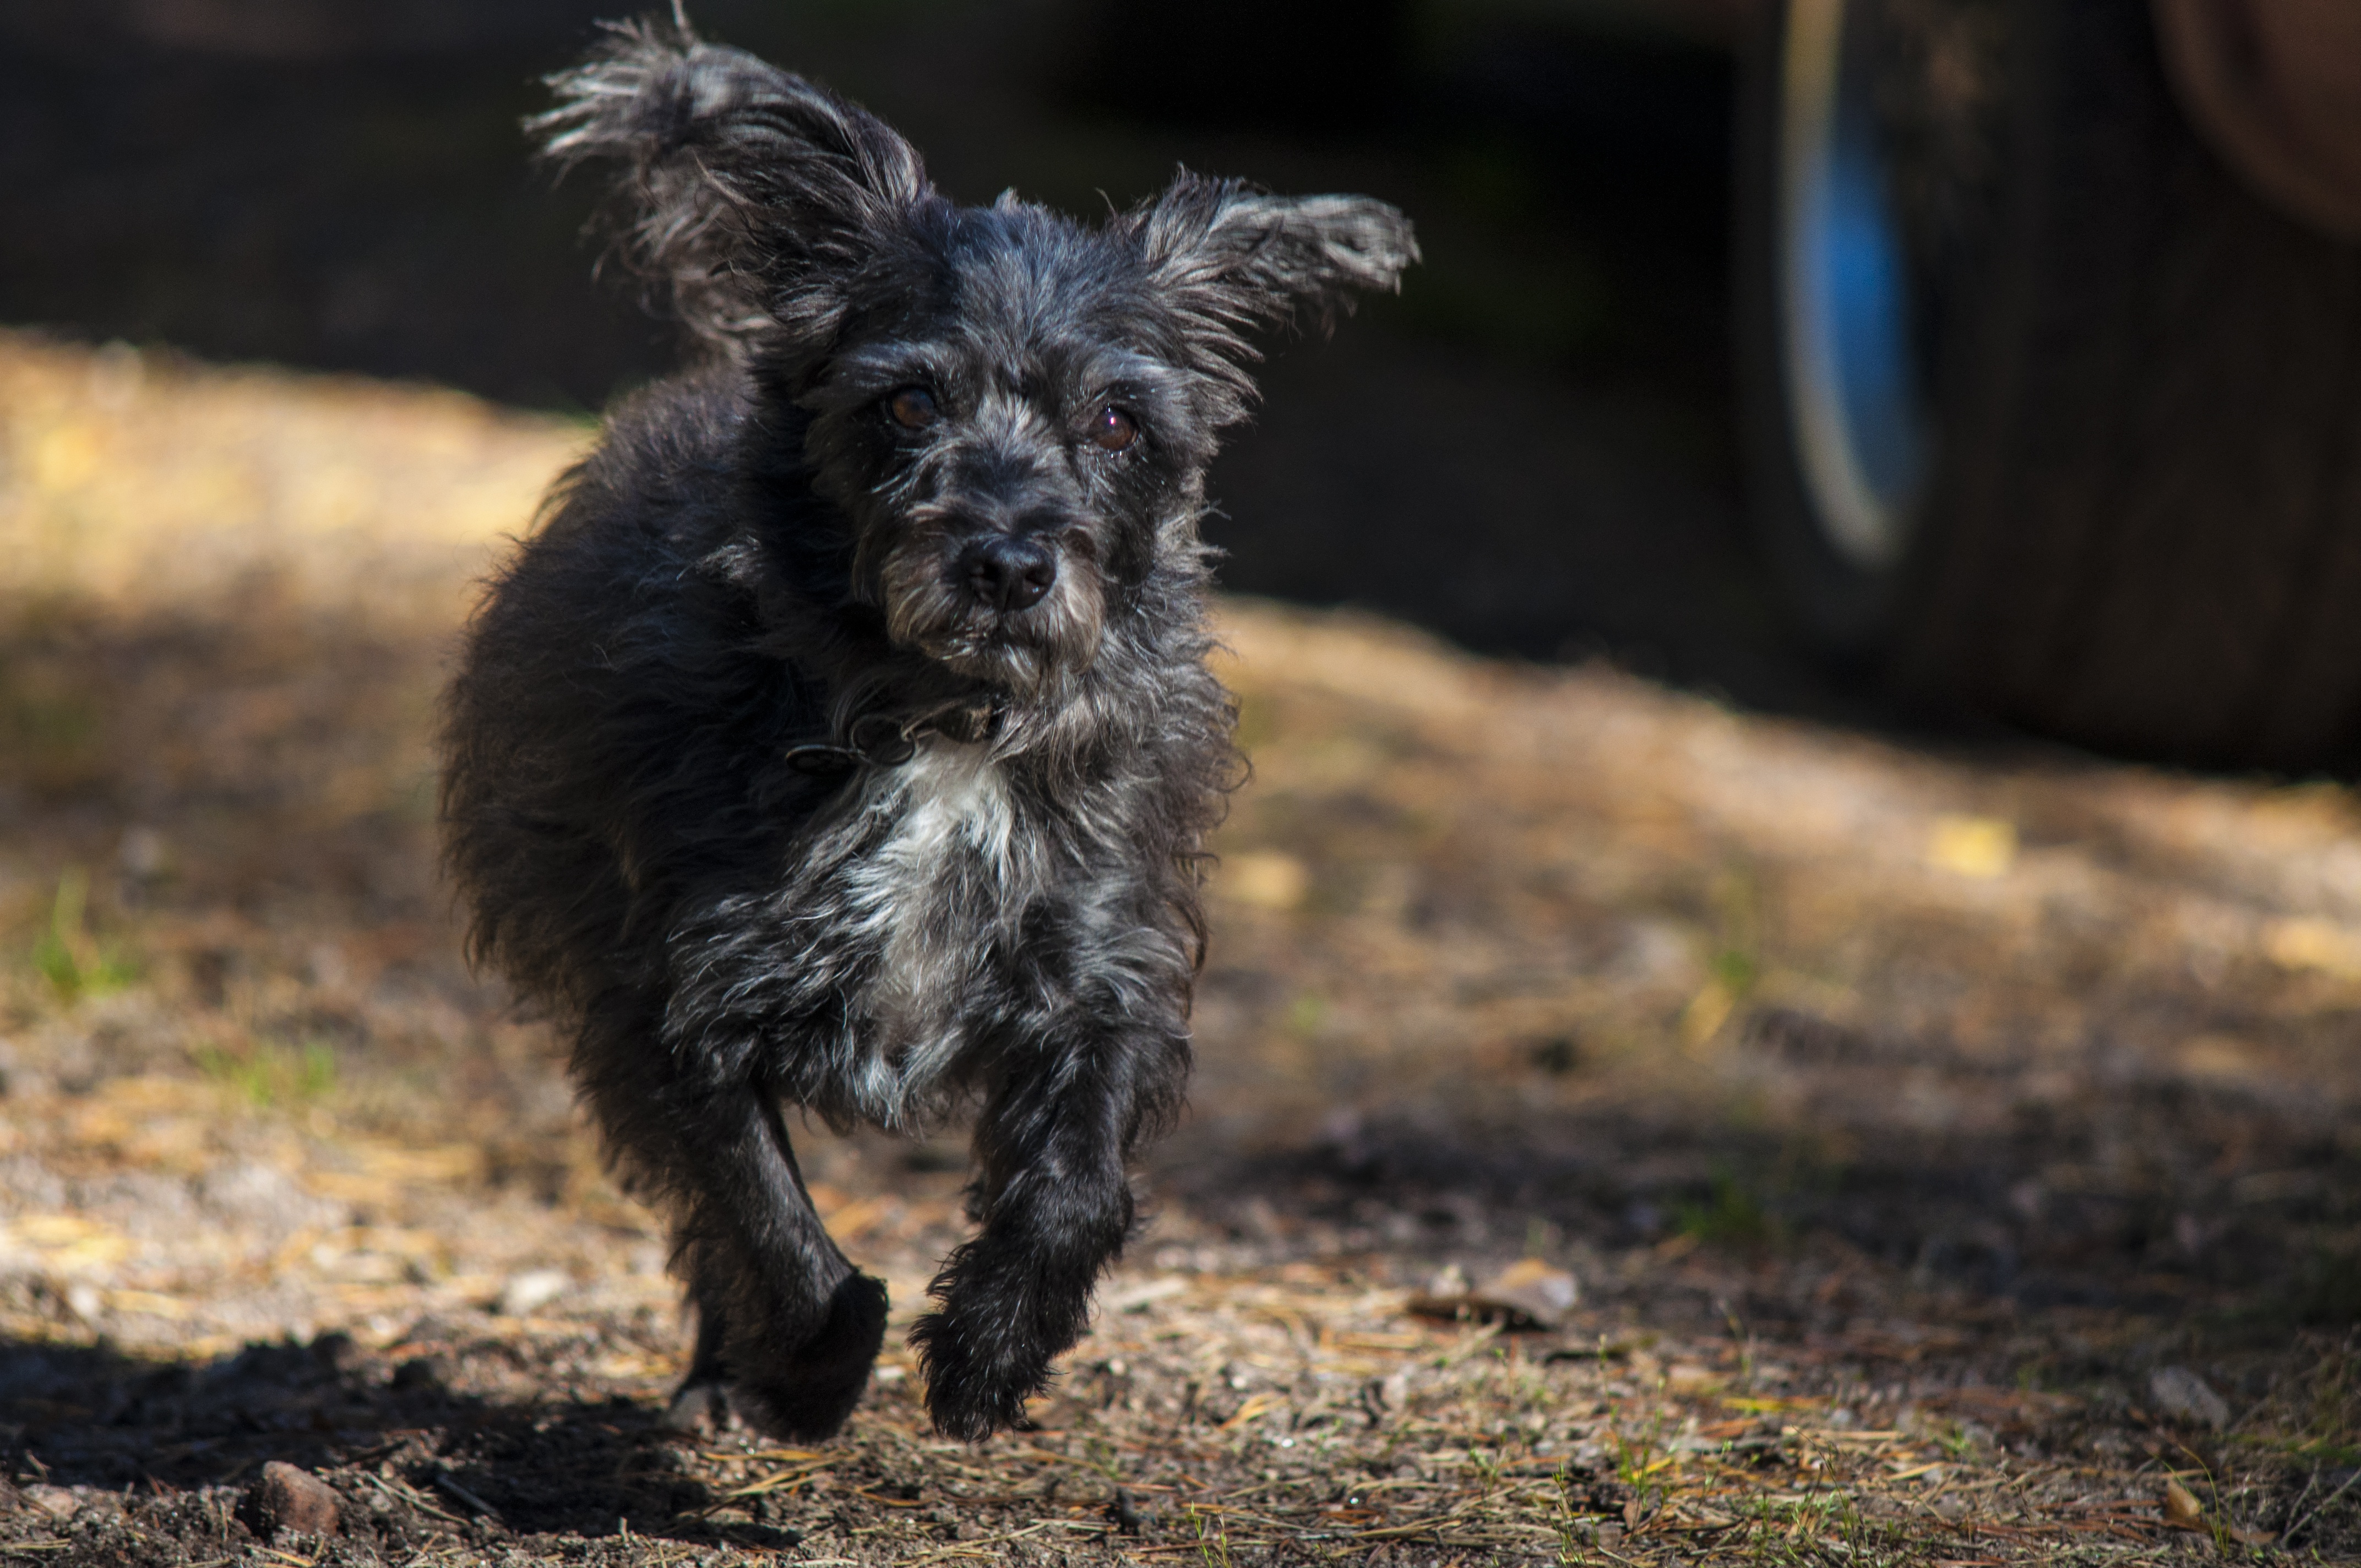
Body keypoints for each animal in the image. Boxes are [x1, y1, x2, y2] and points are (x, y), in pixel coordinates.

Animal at [441, 15, 1407, 1445]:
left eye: (1116, 419)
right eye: (907, 404)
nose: (1005, 560)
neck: (946, 724)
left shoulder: (1097, 972)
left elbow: (1075, 1184)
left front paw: (992, 1347)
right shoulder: (672, 1001)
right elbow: (767, 1225)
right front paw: (809, 1370)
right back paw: (726, 1374)